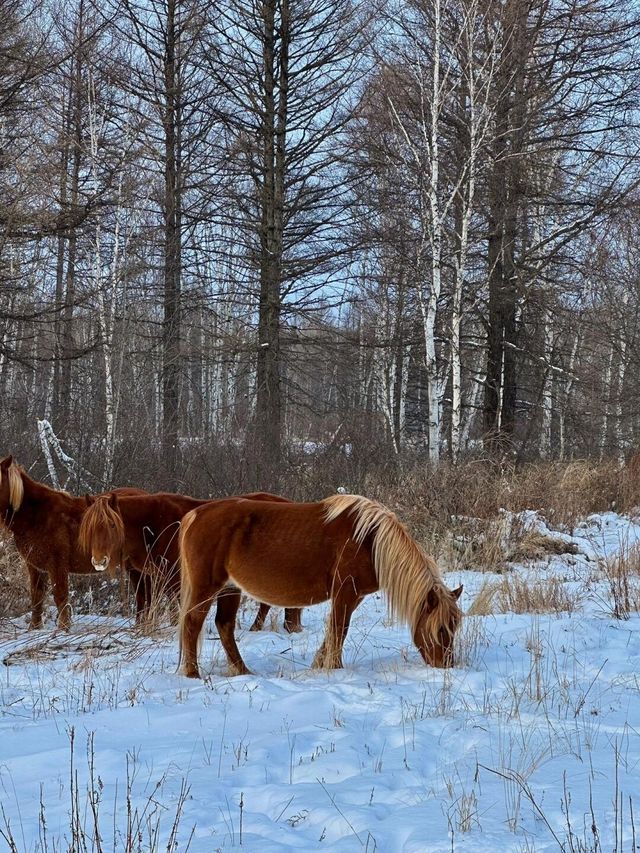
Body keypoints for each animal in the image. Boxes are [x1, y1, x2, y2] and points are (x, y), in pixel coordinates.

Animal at [0, 456, 146, 628]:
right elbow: (37, 597)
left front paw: (63, 628)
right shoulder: (35, 566)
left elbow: (61, 597)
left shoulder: (57, 565)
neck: (36, 515)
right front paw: (34, 628)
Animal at [77, 490, 302, 628]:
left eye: (111, 525)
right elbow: (144, 601)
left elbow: (176, 603)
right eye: (88, 527)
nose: (99, 561)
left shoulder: (174, 575)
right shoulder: (144, 574)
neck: (151, 526)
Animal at [178, 492, 462, 680]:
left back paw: (242, 670)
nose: (446, 665)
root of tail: (197, 514)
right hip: (207, 587)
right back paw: (193, 673)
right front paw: (335, 668)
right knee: (192, 623)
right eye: (439, 629)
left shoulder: (353, 596)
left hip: (230, 588)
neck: (370, 541)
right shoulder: (344, 592)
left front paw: (319, 664)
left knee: (224, 625)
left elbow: (334, 630)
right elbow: (339, 630)